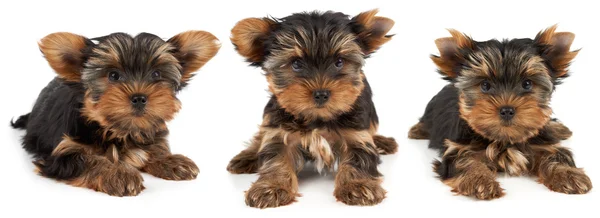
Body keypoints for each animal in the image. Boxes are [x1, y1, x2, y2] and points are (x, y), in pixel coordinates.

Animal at [10, 30, 221, 196]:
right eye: (113, 75)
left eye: (156, 74)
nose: (139, 97)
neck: (120, 130)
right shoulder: (62, 153)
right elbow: (87, 160)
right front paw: (118, 174)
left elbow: (155, 147)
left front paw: (171, 160)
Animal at [225, 9, 398, 208]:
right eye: (296, 64)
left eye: (339, 62)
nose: (321, 94)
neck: (316, 118)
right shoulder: (280, 130)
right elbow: (275, 156)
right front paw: (271, 187)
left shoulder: (356, 133)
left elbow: (359, 157)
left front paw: (358, 185)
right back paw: (248, 156)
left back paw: (383, 142)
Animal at [410, 25, 592, 199]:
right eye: (485, 85)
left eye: (527, 84)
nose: (507, 110)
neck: (505, 139)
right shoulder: (458, 147)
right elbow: (465, 161)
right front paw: (479, 181)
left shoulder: (545, 146)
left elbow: (556, 155)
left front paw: (569, 175)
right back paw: (417, 131)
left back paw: (560, 129)